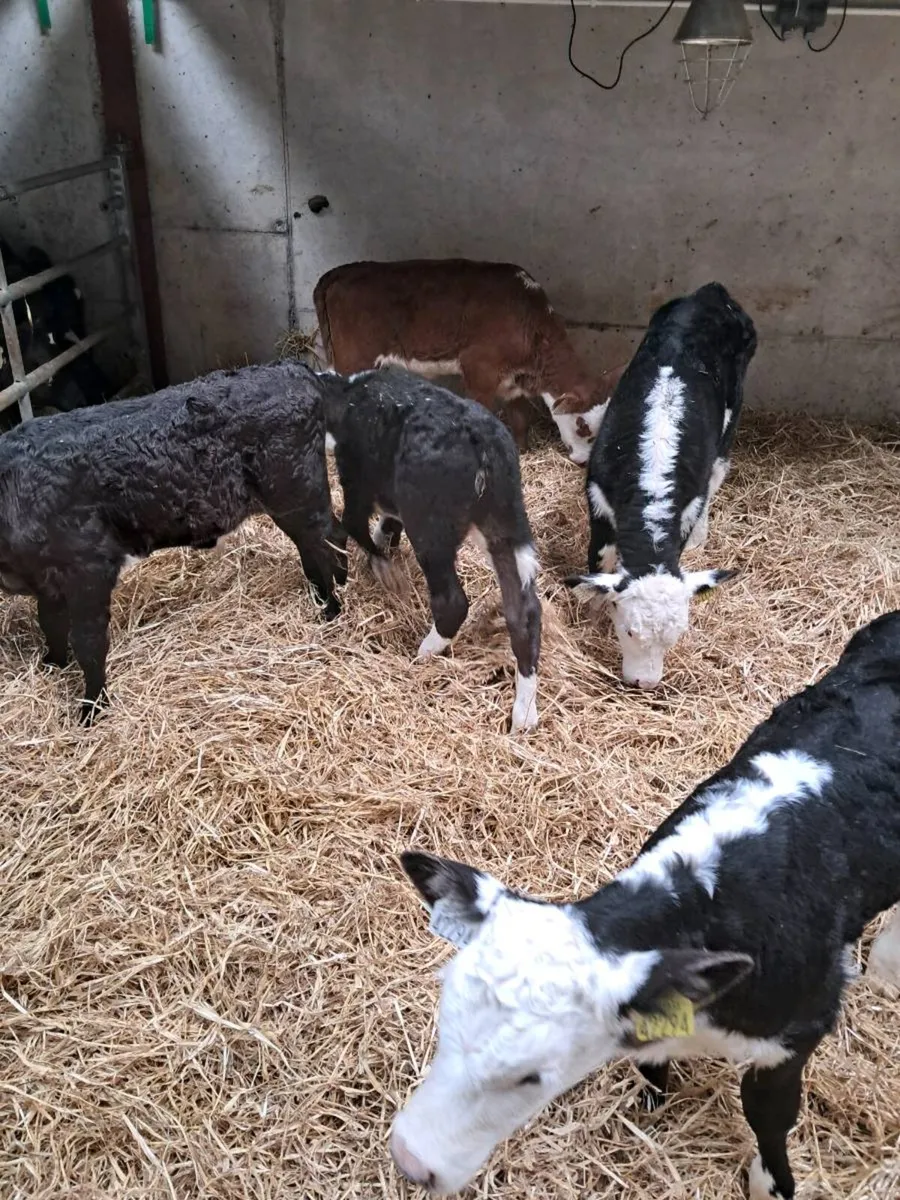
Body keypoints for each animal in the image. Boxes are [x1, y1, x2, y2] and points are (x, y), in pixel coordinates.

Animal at [0, 362, 345, 723]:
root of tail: (296, 369)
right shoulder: (45, 580)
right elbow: (50, 623)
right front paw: (51, 665)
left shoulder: (89, 567)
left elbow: (87, 642)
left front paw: (91, 709)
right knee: (324, 539)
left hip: (296, 490)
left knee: (325, 542)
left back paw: (331, 609)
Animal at [313, 258, 625, 465]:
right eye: (583, 426)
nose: (584, 461)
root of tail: (341, 271)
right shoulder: (479, 368)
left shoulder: (514, 381)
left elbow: (520, 420)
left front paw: (521, 452)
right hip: (355, 357)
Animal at [316, 365, 541, 732]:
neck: (347, 394)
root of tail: (482, 441)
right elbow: (387, 521)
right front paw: (384, 547)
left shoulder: (356, 477)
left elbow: (352, 522)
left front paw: (383, 566)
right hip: (506, 522)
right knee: (524, 612)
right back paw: (524, 712)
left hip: (429, 526)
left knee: (452, 601)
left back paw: (425, 651)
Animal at [391, 609, 900, 1199]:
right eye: (444, 1019)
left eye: (531, 1075)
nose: (409, 1159)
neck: (710, 905)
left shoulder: (799, 1029)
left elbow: (769, 1115)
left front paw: (772, 1182)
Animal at [565, 282, 757, 689]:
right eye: (629, 630)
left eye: (677, 634)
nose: (645, 683)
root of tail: (713, 293)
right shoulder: (598, 500)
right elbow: (600, 561)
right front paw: (591, 612)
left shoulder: (686, 508)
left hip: (732, 415)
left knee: (719, 471)